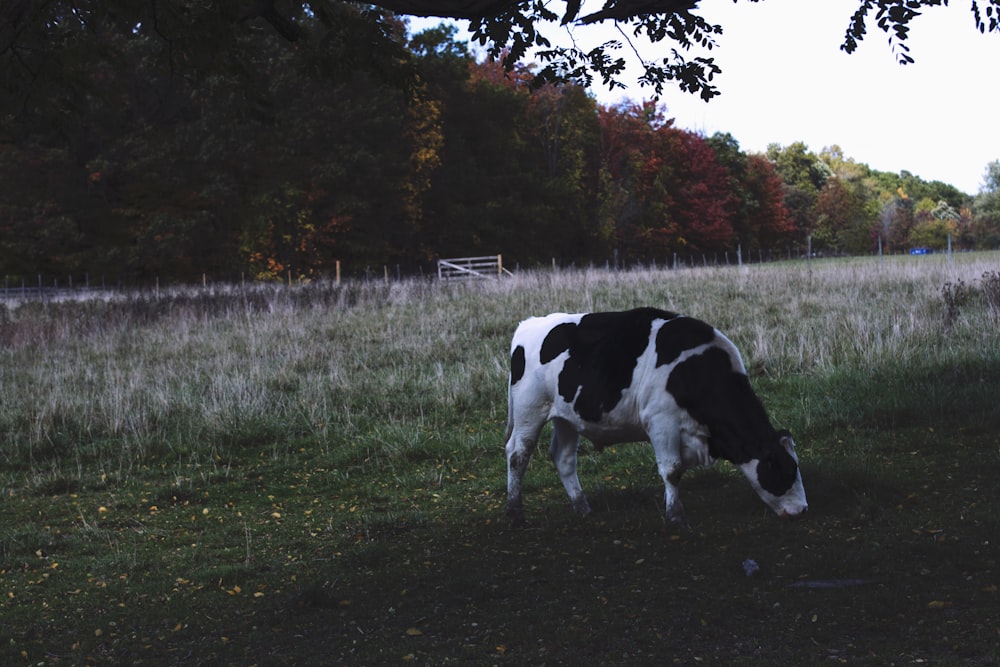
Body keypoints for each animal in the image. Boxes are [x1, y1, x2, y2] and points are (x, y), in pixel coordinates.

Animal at [504, 308, 808, 528]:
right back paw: (516, 513)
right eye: (785, 469)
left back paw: (582, 508)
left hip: (566, 418)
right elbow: (672, 470)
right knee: (517, 454)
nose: (802, 510)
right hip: (529, 410)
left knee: (564, 458)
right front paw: (676, 516)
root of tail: (529, 324)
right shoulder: (661, 422)